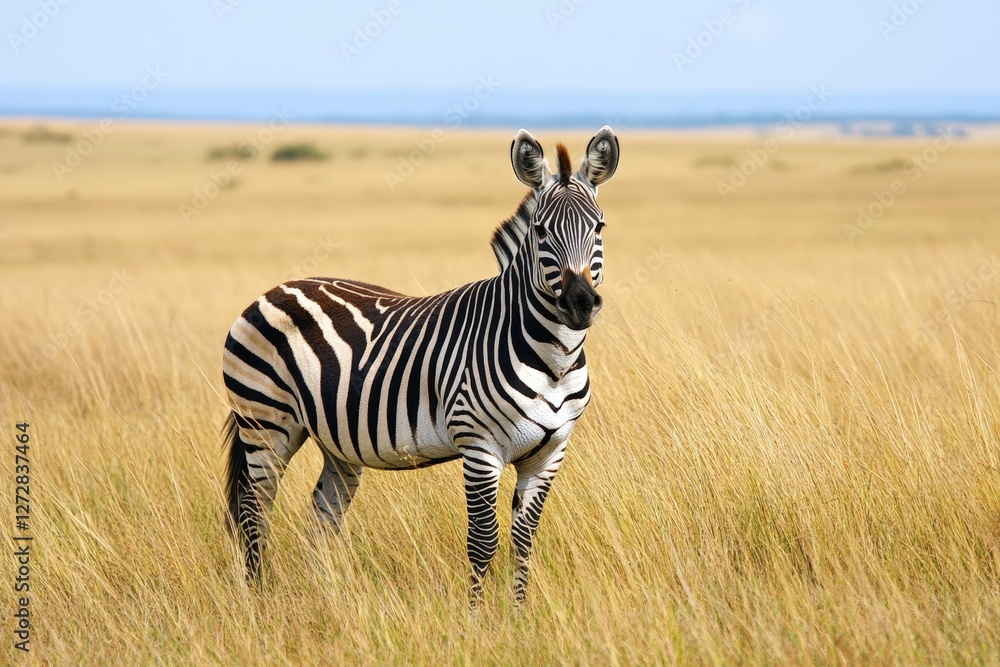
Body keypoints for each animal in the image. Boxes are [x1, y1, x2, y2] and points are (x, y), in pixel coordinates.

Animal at [222, 126, 620, 606]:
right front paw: (478, 617)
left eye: (599, 226)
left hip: (335, 441)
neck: (553, 361)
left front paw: (519, 613)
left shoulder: (549, 452)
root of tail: (275, 288)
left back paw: (328, 599)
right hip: (264, 422)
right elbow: (482, 541)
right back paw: (257, 601)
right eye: (541, 231)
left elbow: (524, 540)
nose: (580, 304)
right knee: (253, 512)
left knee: (322, 517)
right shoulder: (479, 444)